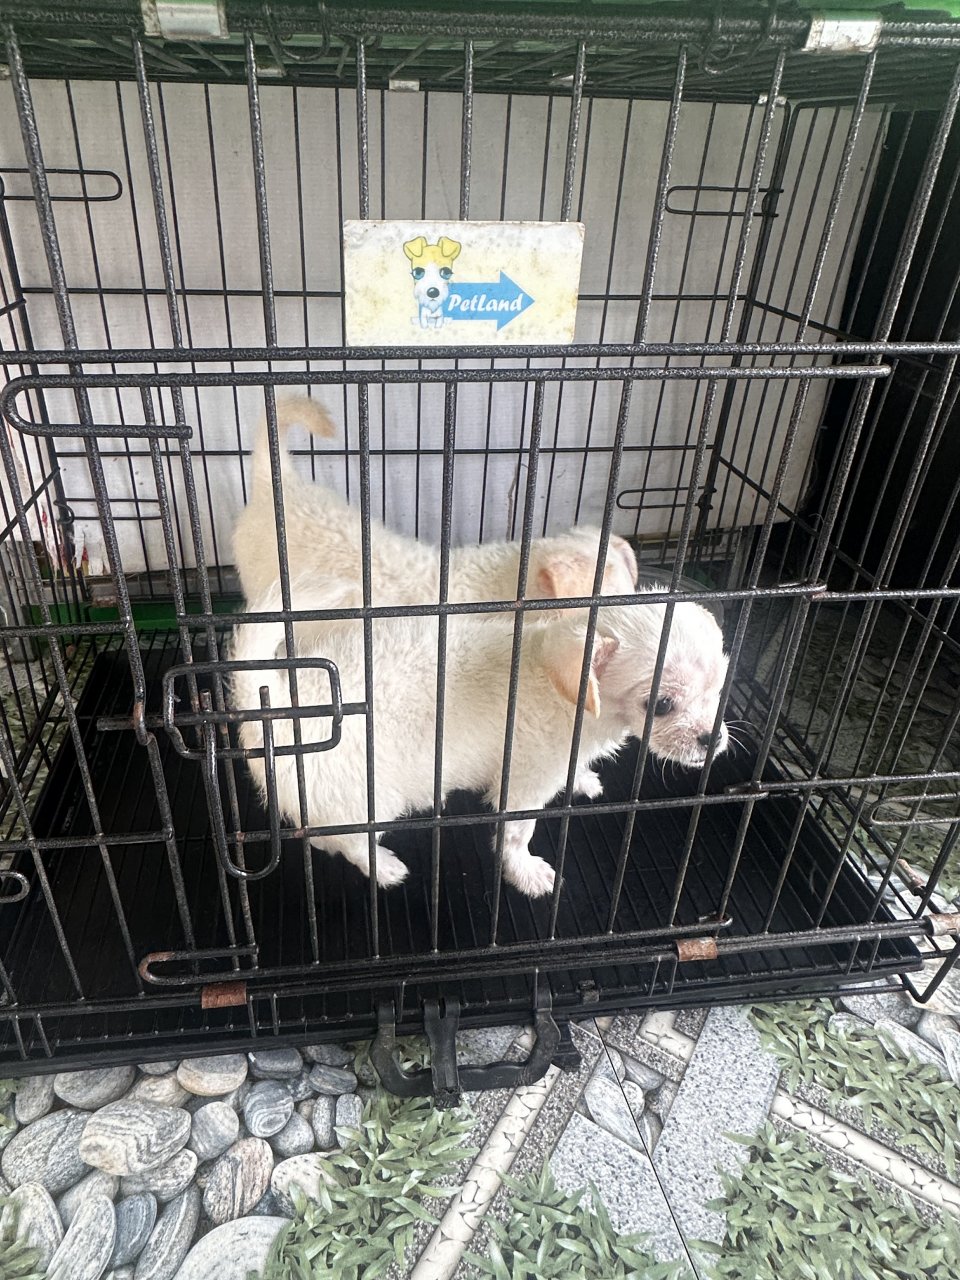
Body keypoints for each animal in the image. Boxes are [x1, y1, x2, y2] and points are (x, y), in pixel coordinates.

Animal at [231, 574, 729, 897]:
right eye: (661, 705)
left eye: (720, 687)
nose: (712, 740)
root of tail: (276, 701)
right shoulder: (524, 786)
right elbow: (516, 836)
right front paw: (525, 873)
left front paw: (583, 779)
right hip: (366, 796)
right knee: (344, 841)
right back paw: (383, 866)